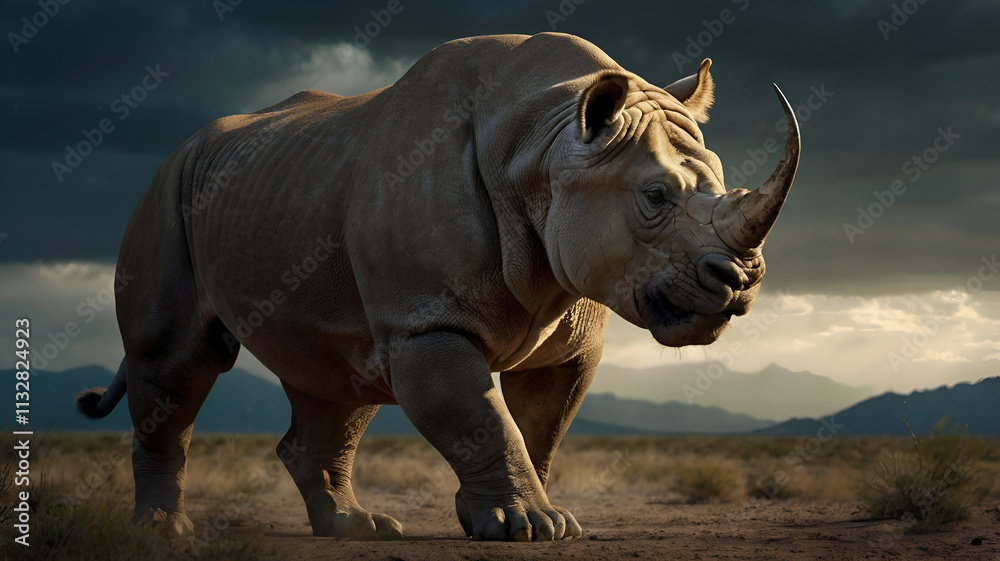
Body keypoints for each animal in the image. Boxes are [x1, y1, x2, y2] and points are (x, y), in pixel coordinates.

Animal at [77, 32, 799, 542]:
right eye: (654, 197)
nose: (738, 280)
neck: (543, 144)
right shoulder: (428, 317)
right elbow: (479, 413)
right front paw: (527, 526)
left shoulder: (569, 331)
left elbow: (535, 424)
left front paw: (516, 518)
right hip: (168, 191)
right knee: (178, 360)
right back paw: (165, 531)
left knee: (339, 377)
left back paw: (359, 529)